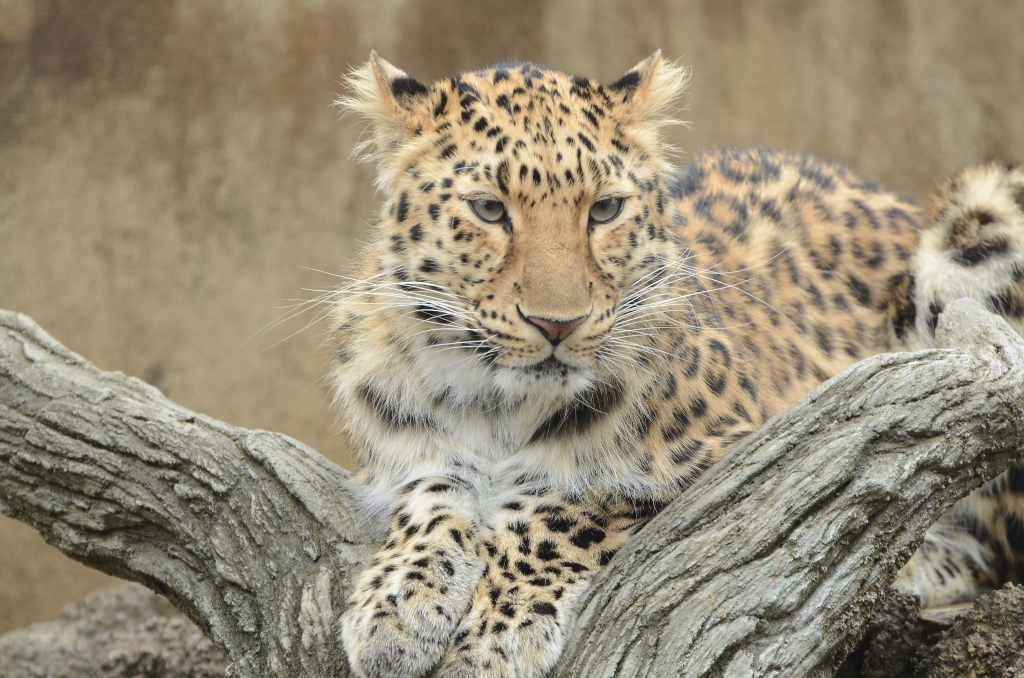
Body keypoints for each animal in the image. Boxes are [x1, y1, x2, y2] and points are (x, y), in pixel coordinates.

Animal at [325, 51, 1024, 678]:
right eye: (489, 209)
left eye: (604, 209)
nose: (558, 324)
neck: (503, 408)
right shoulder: (402, 451)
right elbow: (430, 490)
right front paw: (397, 602)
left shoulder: (759, 456)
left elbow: (576, 504)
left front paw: (497, 632)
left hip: (986, 214)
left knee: (983, 540)